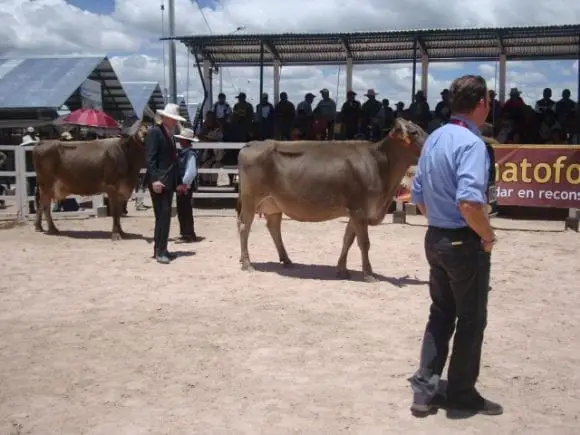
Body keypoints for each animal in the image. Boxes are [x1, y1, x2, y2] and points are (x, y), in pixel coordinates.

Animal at [234, 117, 426, 284]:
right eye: (414, 132)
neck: (379, 164)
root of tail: (253, 143)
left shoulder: (355, 211)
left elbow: (347, 240)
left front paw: (342, 270)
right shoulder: (359, 210)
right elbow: (364, 243)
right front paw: (368, 274)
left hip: (273, 203)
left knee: (273, 228)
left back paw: (286, 260)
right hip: (251, 199)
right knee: (244, 227)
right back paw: (247, 263)